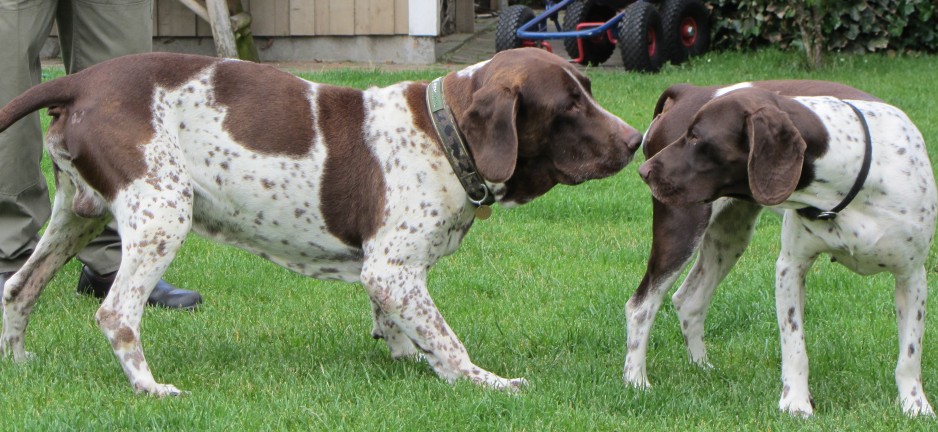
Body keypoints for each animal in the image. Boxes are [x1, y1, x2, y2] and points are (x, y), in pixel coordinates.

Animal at [0, 47, 644, 394]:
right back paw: (150, 388)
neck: (445, 136)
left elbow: (405, 332)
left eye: (588, 88)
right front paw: (486, 383)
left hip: (79, 216)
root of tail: (81, 78)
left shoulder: (388, 275)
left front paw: (413, 360)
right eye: (569, 105)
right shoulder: (393, 271)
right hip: (162, 212)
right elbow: (449, 342)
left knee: (17, 288)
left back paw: (20, 365)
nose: (637, 140)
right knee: (116, 314)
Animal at [632, 81, 932, 416]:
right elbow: (795, 347)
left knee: (689, 300)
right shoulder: (790, 267)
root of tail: (688, 89)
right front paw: (796, 403)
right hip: (682, 228)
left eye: (696, 137)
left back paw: (701, 367)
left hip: (729, 236)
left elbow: (909, 355)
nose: (644, 170)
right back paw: (636, 381)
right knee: (640, 306)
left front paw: (915, 405)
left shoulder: (912, 276)